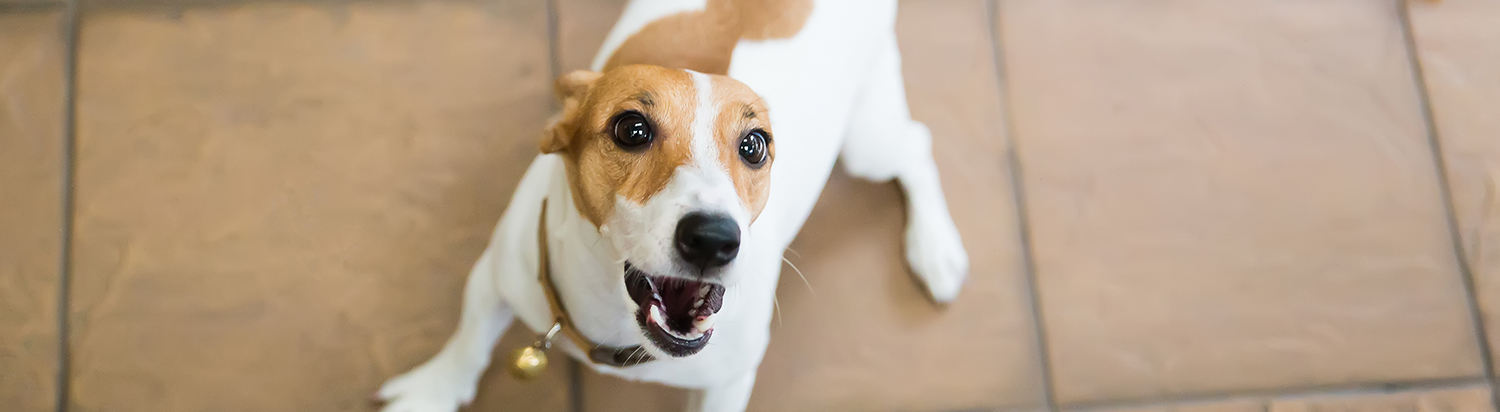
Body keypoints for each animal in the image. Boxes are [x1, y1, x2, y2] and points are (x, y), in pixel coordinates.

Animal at [378, 0, 972, 410]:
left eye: (754, 145)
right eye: (631, 129)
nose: (714, 239)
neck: (617, 326)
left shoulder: (727, 382)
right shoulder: (499, 272)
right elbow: (468, 342)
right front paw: (432, 391)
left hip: (867, 143)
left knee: (916, 145)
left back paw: (935, 248)